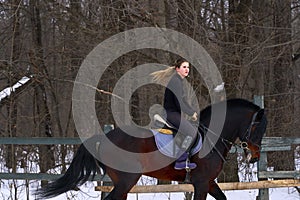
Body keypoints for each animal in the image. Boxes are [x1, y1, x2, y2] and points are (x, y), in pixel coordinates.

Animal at [36, 98, 268, 200]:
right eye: (256, 128)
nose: (255, 157)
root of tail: (106, 136)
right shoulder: (201, 183)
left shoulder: (209, 182)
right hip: (127, 180)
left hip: (123, 183)